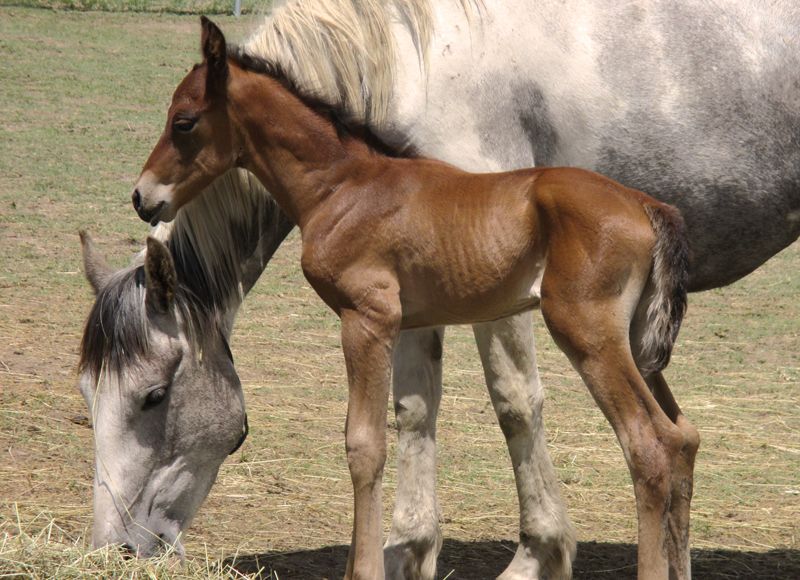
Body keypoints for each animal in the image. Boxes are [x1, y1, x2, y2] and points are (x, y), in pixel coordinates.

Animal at [131, 19, 700, 580]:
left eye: (184, 121)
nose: (142, 197)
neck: (343, 186)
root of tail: (645, 205)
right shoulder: (407, 324)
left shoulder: (367, 318)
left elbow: (363, 444)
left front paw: (364, 569)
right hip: (635, 345)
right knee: (682, 436)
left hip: (589, 334)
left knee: (649, 443)